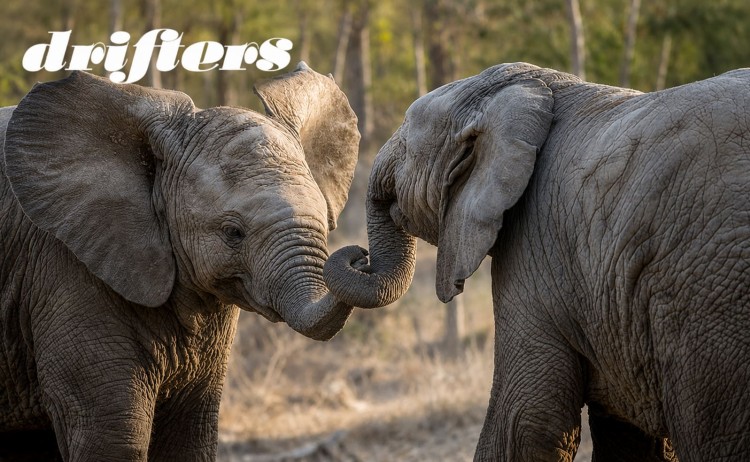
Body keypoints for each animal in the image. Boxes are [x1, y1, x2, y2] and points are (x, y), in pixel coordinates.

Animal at [0, 62, 361, 461]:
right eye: (233, 232)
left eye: (324, 218)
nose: (360, 257)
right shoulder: (62, 269)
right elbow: (112, 435)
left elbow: (189, 436)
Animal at [324, 62, 750, 461]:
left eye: (406, 141)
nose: (358, 255)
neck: (535, 88)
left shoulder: (533, 245)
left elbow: (524, 421)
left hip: (707, 299)